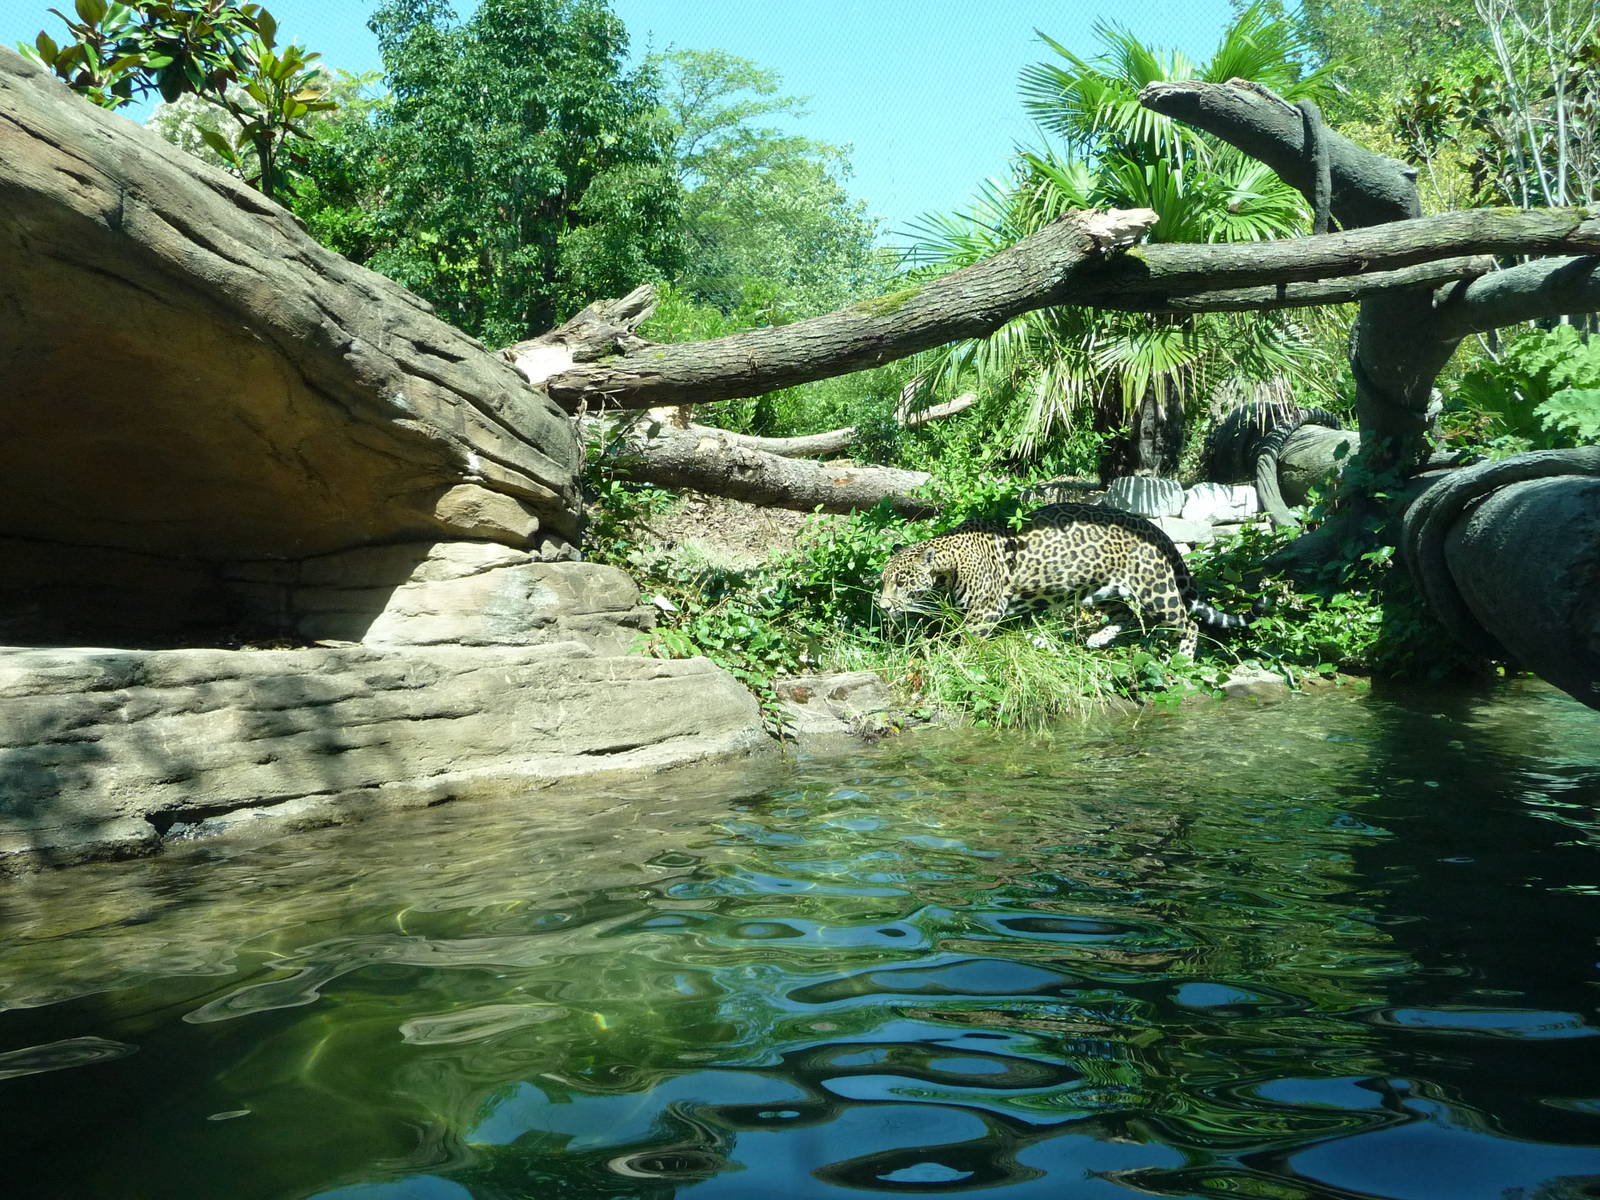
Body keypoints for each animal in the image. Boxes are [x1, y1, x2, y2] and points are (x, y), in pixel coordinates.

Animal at [876, 502, 1249, 656]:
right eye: (884, 581)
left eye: (901, 582)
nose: (882, 605)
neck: (951, 564)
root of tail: (1154, 529)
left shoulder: (986, 610)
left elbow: (964, 638)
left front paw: (949, 657)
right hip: (1102, 587)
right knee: (1124, 614)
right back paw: (1098, 639)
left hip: (1155, 590)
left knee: (1189, 623)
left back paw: (1183, 657)